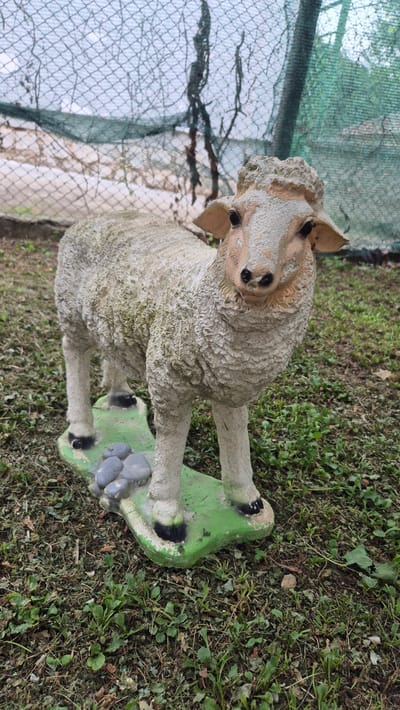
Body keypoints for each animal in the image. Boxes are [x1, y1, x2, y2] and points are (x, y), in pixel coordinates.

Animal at [55, 156, 347, 543]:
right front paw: (166, 516)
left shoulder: (233, 388)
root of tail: (102, 215)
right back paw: (81, 431)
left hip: (115, 316)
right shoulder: (168, 382)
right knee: (74, 352)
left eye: (307, 226)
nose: (256, 275)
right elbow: (171, 443)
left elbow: (235, 437)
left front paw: (246, 500)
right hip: (70, 310)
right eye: (234, 216)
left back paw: (121, 397)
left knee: (111, 350)